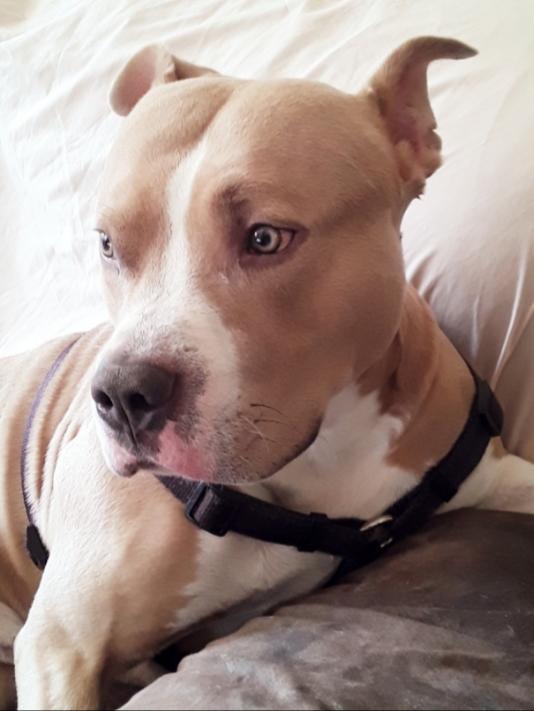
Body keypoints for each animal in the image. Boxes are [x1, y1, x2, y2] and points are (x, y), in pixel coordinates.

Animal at [1, 36, 533, 710]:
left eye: (265, 238)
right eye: (107, 244)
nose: (120, 394)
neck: (323, 456)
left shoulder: (490, 472)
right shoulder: (63, 639)